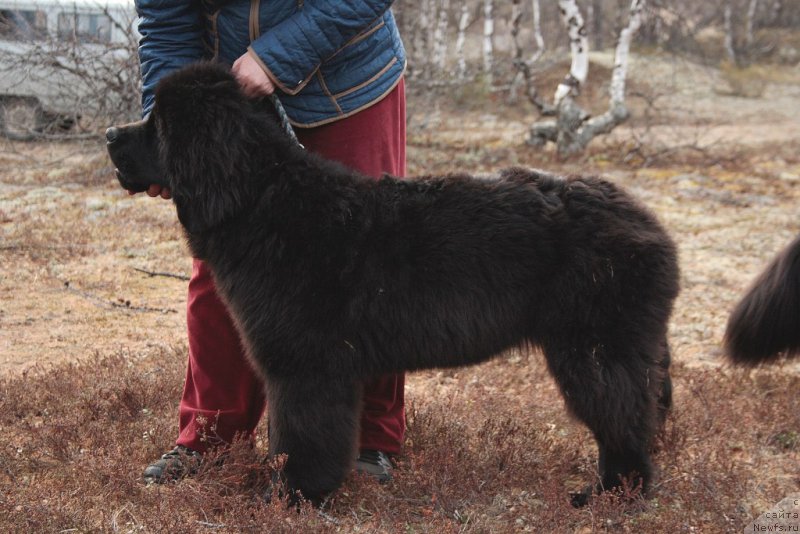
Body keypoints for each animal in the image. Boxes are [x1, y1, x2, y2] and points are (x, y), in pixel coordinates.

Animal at [104, 62, 680, 506]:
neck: (262, 197)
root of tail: (646, 221)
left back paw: (610, 497)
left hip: (595, 348)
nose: (110, 136)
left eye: (159, 126)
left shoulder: (306, 364)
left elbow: (302, 434)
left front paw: (291, 496)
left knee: (623, 422)